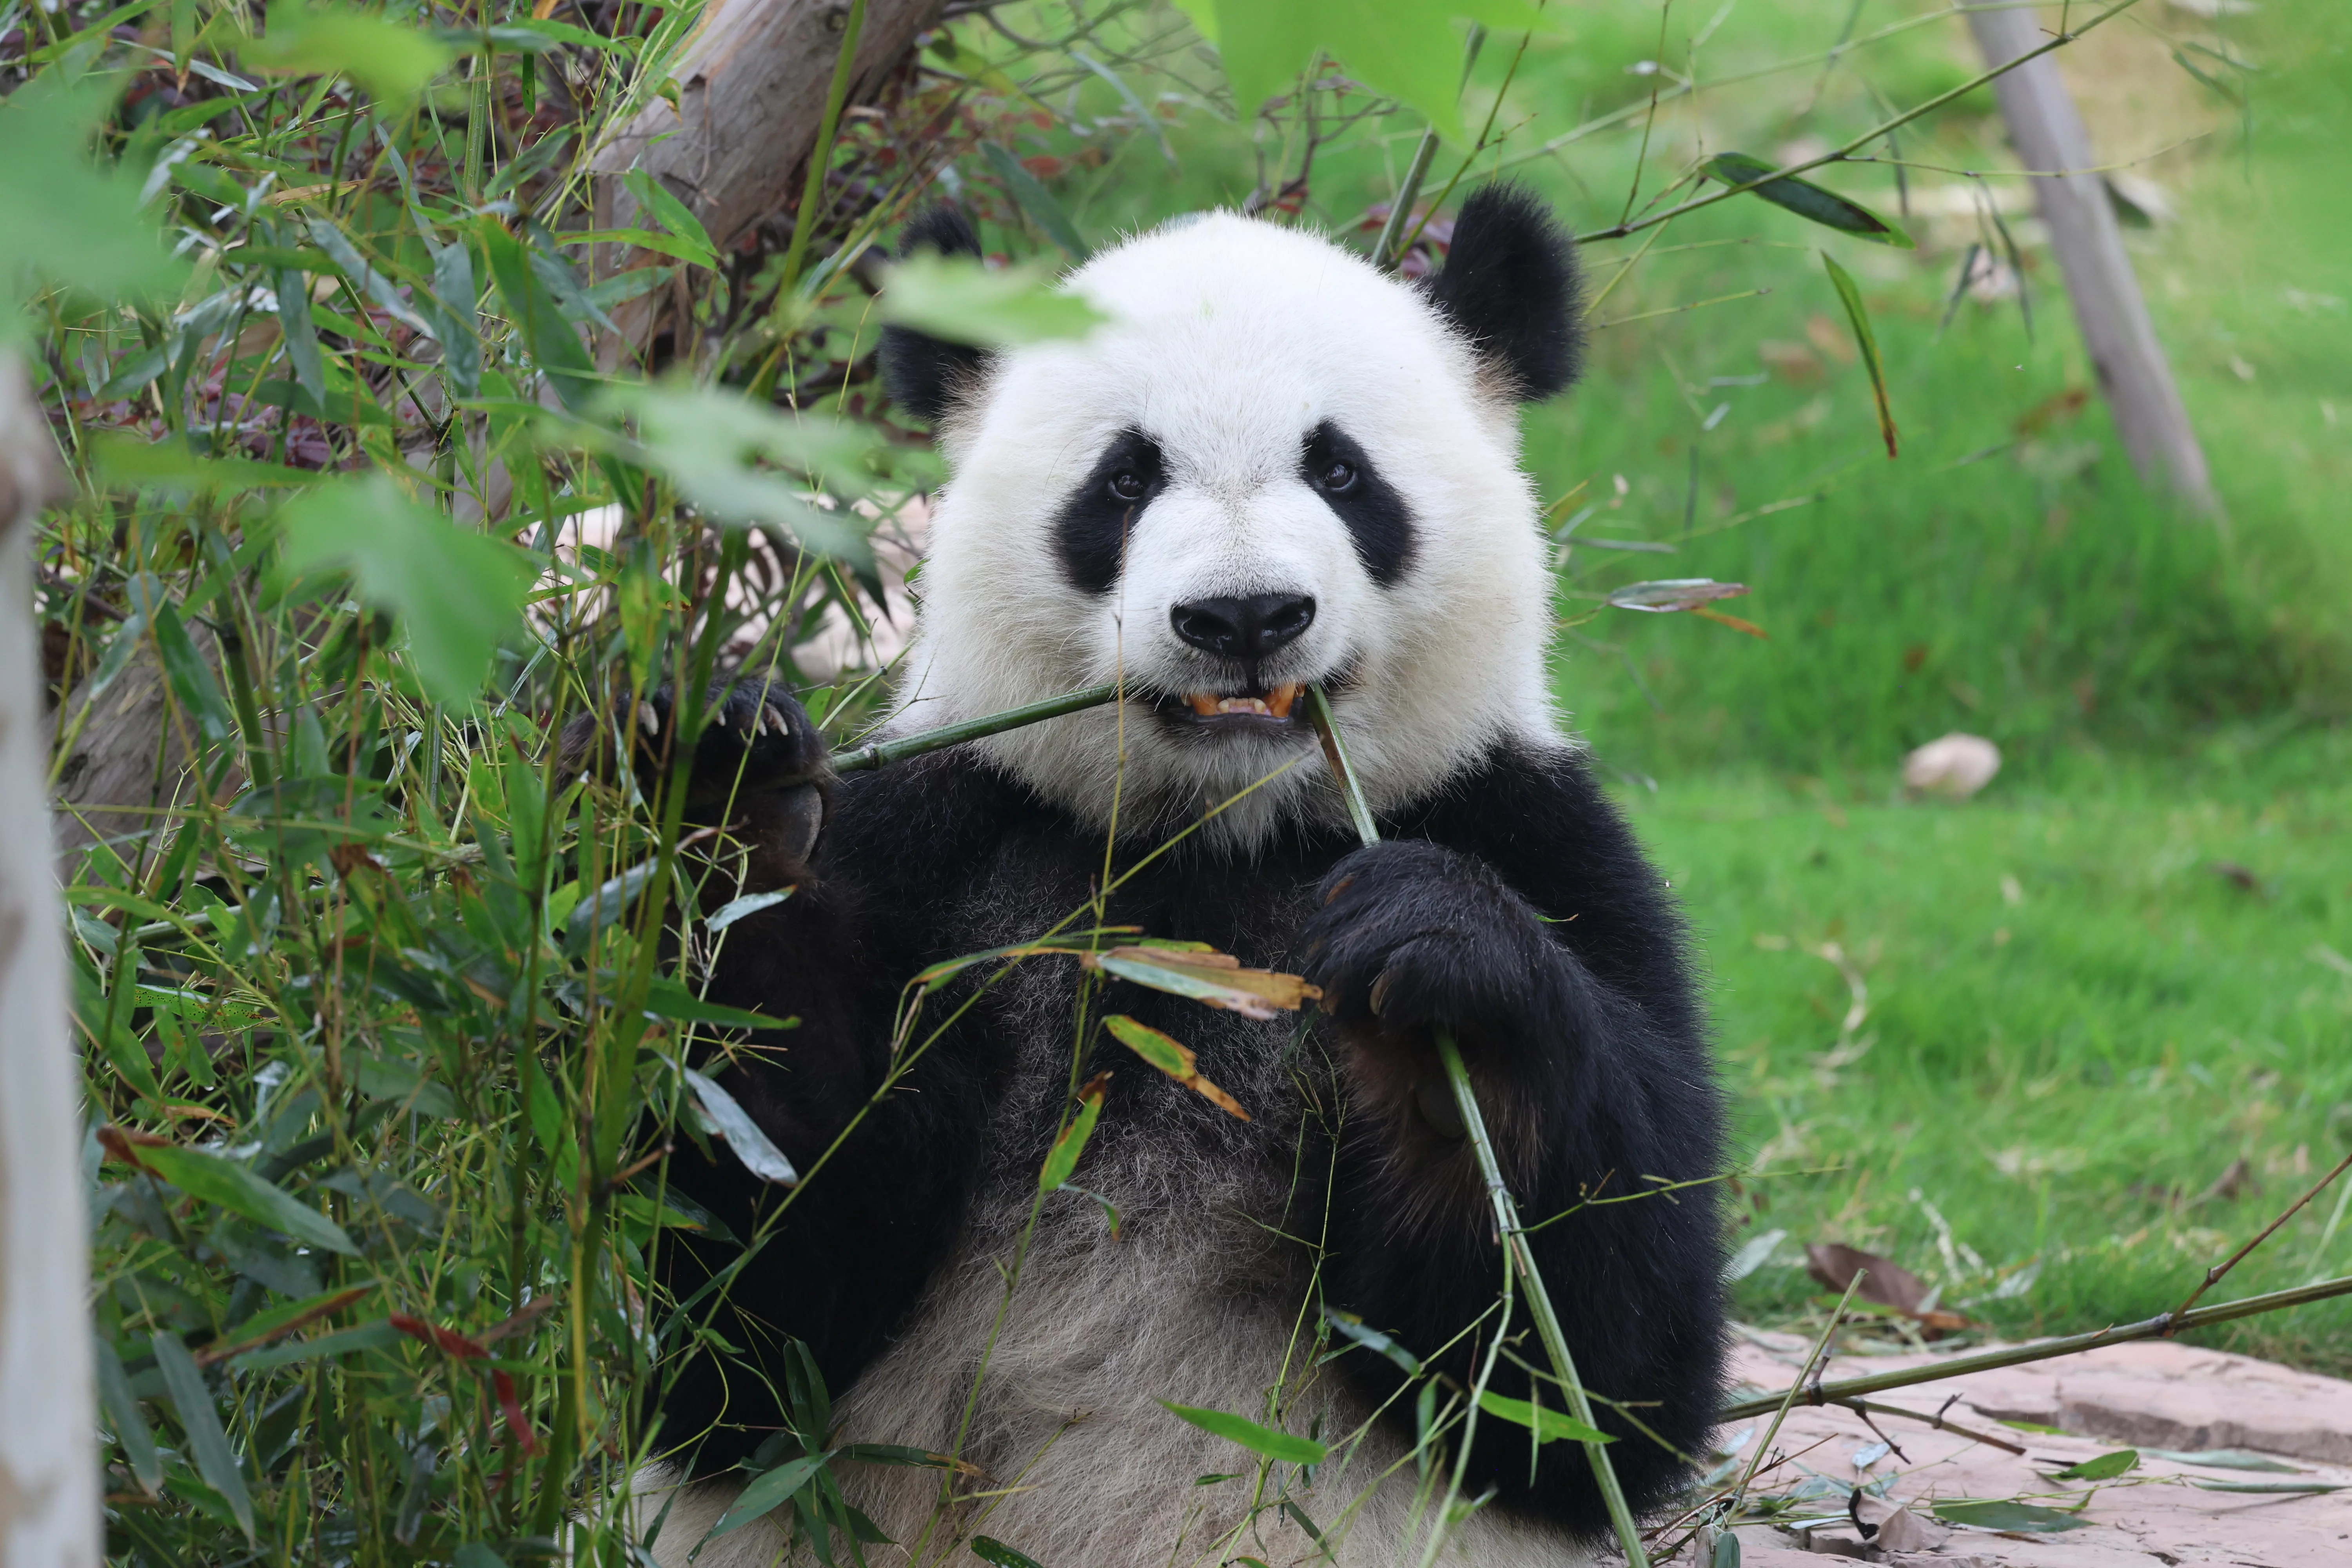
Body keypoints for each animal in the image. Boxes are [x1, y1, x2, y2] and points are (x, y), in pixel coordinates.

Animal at [617, 185, 1728, 1567]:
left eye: (1341, 471)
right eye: (1125, 477)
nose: (1244, 617)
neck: (1211, 842)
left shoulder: (1537, 836)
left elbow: (1592, 1378)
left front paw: (1442, 985)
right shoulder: (948, 842)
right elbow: (752, 1318)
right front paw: (727, 799)